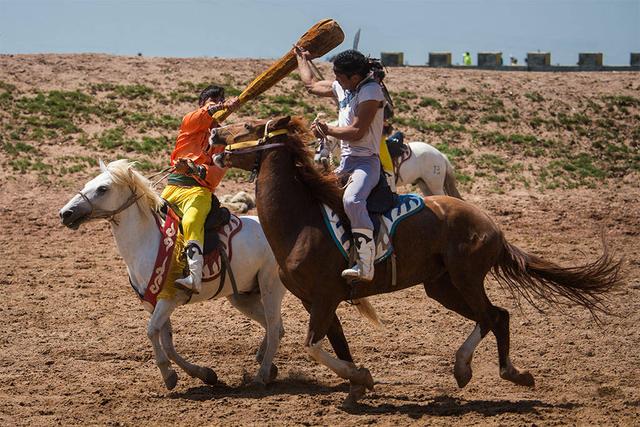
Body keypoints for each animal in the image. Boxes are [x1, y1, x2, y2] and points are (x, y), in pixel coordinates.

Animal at [59, 160, 284, 392]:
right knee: (275, 327)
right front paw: (203, 374)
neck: (147, 241)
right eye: (88, 184)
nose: (65, 213)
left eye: (103, 189)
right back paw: (266, 365)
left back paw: (261, 375)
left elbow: (152, 332)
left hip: (270, 287)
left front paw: (167, 374)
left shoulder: (168, 300)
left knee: (275, 327)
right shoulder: (154, 303)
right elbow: (166, 342)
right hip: (242, 296)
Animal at [212, 116, 624, 404]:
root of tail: (490, 223)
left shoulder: (326, 298)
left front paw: (359, 378)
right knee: (494, 316)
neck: (302, 221)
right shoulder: (315, 301)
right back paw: (470, 368)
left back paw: (503, 372)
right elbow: (337, 346)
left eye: (247, 125)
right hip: (441, 286)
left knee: (494, 316)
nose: (215, 135)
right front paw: (358, 382)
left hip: (465, 278)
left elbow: (313, 347)